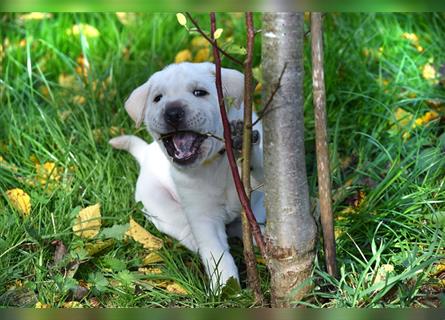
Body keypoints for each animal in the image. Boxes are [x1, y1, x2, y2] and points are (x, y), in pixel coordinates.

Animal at [109, 62, 266, 290]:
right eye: (158, 98)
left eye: (199, 92)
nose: (173, 112)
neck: (216, 161)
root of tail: (145, 153)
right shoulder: (203, 216)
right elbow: (217, 255)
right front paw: (226, 288)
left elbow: (260, 168)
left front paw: (244, 144)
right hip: (159, 207)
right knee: (185, 230)